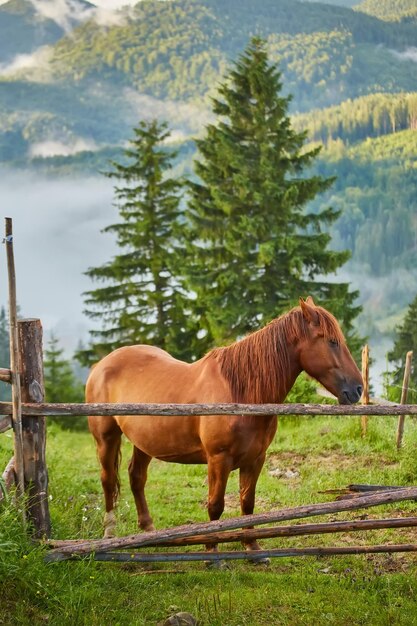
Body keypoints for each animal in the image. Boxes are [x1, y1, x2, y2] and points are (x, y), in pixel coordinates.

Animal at [87, 296, 360, 552]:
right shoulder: (219, 460)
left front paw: (252, 547)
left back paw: (148, 530)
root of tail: (102, 364)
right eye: (332, 342)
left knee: (136, 477)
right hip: (106, 439)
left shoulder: (255, 459)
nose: (357, 389)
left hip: (144, 442)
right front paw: (212, 551)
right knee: (108, 479)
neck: (241, 394)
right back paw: (109, 533)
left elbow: (247, 503)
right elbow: (215, 506)